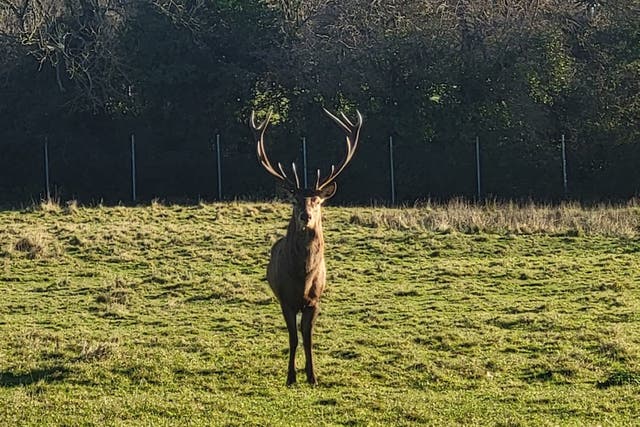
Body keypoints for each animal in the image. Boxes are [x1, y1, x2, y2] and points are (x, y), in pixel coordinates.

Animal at [250, 108, 362, 386]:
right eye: (294, 200)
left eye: (317, 200)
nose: (305, 216)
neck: (302, 277)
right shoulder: (286, 300)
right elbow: (293, 338)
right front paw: (291, 377)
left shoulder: (315, 300)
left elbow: (308, 338)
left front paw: (312, 376)